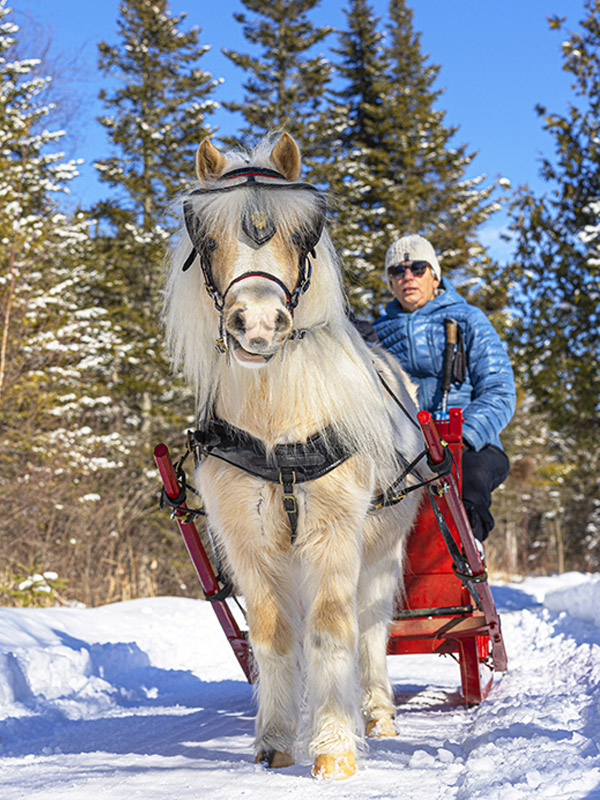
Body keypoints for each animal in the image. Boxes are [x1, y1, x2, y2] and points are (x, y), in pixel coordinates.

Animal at [164, 132, 427, 780]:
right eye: (209, 240)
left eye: (299, 235)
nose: (257, 322)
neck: (275, 427)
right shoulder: (248, 539)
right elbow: (275, 634)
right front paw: (277, 741)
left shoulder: (334, 529)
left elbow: (331, 629)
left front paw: (334, 748)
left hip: (382, 550)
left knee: (371, 627)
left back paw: (377, 714)